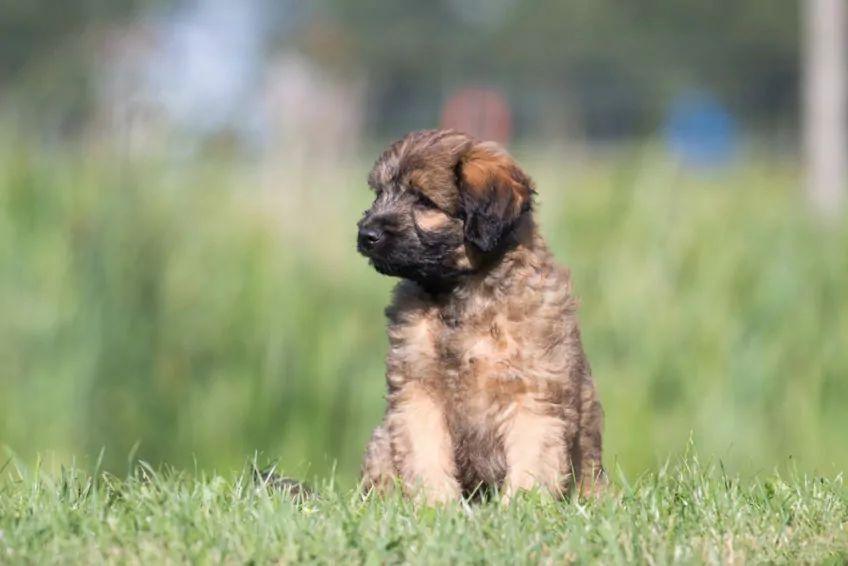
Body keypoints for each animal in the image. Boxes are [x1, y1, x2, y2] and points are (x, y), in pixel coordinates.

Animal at [358, 131, 604, 504]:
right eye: (379, 194)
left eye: (424, 201)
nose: (365, 235)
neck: (460, 297)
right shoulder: (417, 391)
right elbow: (426, 455)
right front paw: (436, 505)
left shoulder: (532, 393)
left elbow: (532, 458)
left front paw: (520, 506)